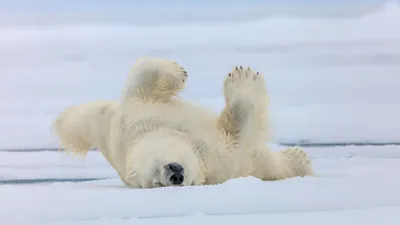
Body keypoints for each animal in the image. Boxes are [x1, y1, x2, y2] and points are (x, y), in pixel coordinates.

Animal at [52, 56, 312, 188]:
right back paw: (300, 158)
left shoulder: (129, 120)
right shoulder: (217, 157)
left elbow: (142, 78)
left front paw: (178, 70)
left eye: (158, 170)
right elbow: (238, 129)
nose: (175, 177)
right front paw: (243, 78)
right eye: (156, 183)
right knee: (271, 164)